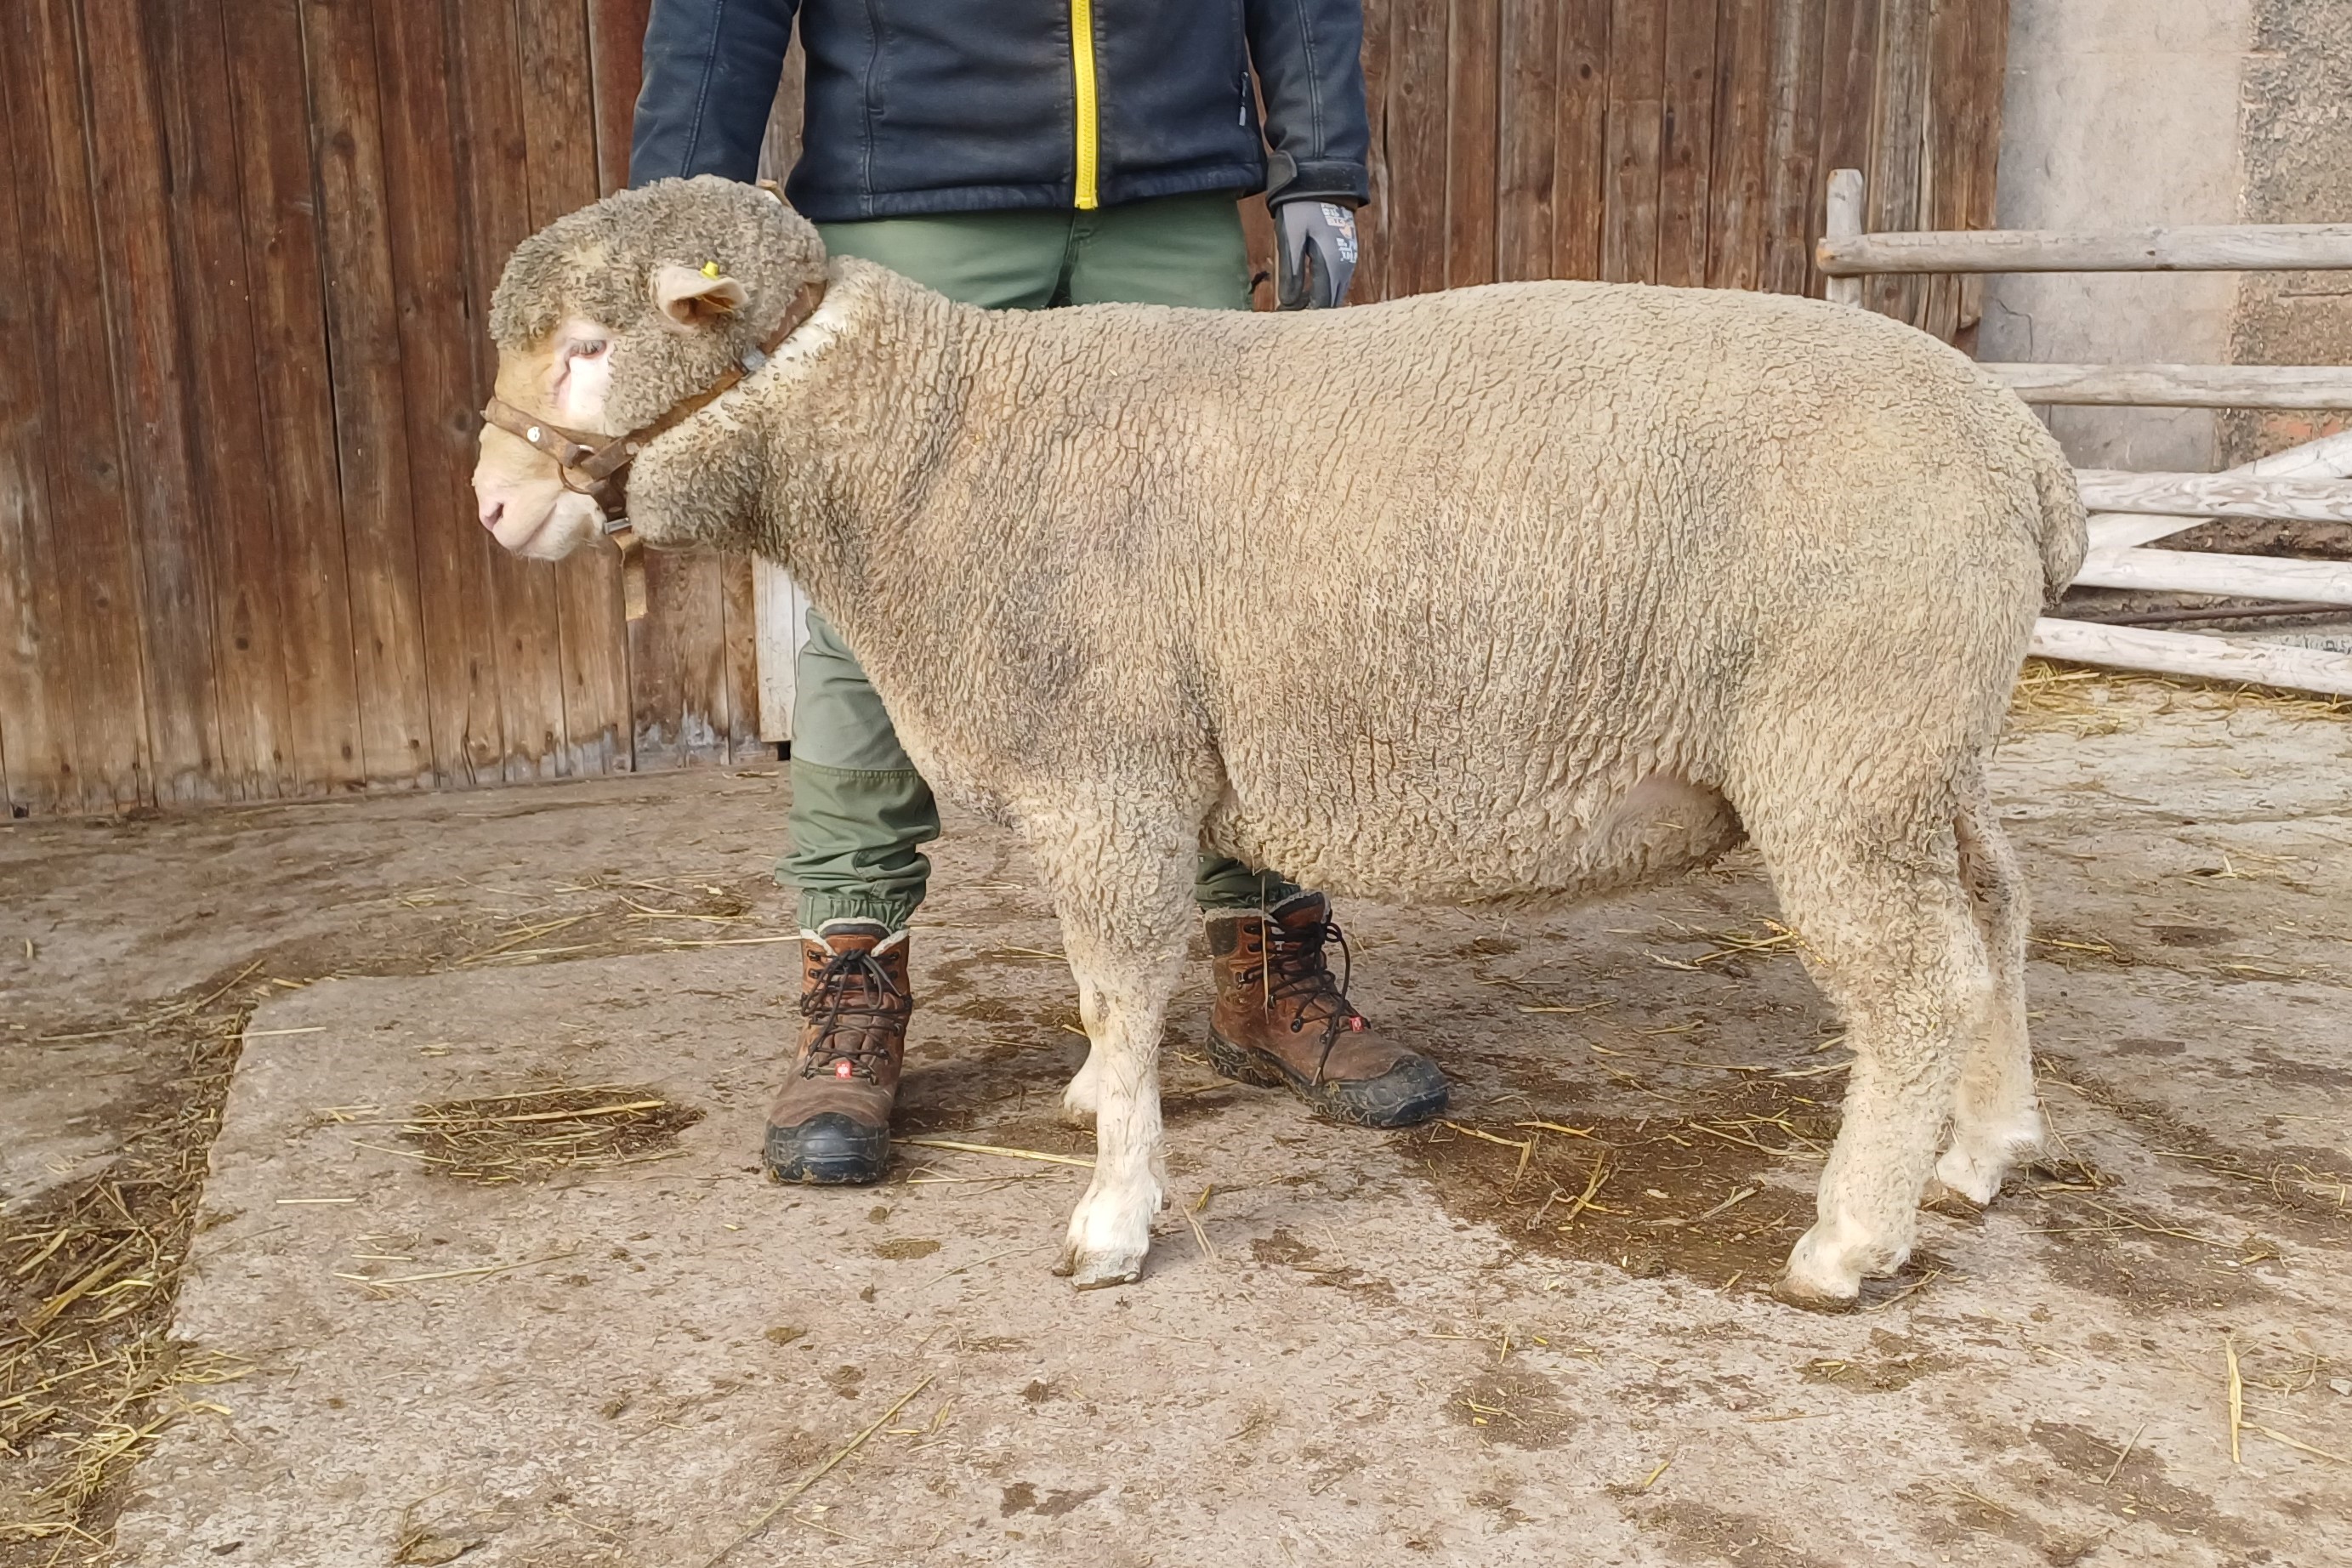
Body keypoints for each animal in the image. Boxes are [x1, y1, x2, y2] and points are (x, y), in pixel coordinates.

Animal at [472, 175, 2086, 1306]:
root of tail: (2028, 459)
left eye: (592, 348)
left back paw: (1851, 1238)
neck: (931, 447)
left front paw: (1113, 1215)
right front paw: (1098, 1105)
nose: (491, 506)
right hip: (1923, 746)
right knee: (1998, 911)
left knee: (1918, 981)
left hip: (1843, 744)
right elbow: (1122, 995)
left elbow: (1120, 988)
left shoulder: (1105, 771)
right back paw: (1983, 1150)